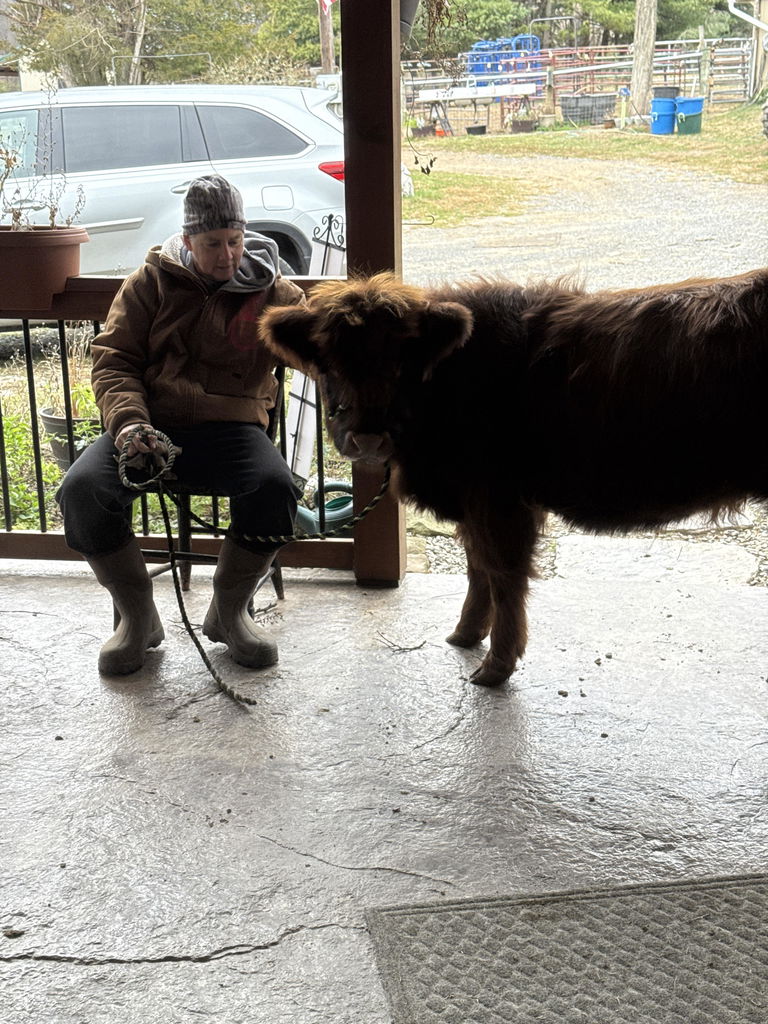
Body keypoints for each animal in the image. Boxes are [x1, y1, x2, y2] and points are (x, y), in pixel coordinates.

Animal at [260, 270, 768, 687]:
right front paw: (465, 635)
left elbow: (503, 573)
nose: (367, 437)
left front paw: (495, 666)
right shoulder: (472, 502)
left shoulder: (498, 500)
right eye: (328, 363)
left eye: (402, 362)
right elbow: (476, 566)